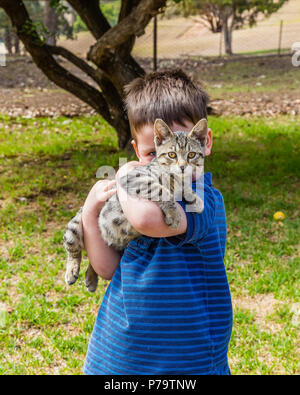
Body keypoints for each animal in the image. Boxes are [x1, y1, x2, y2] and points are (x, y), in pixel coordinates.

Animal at [63, 117, 209, 290]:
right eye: (172, 154)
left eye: (191, 154)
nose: (182, 167)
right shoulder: (135, 179)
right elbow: (161, 191)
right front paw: (174, 214)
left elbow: (185, 188)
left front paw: (195, 199)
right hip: (76, 225)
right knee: (73, 248)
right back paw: (72, 270)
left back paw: (91, 277)